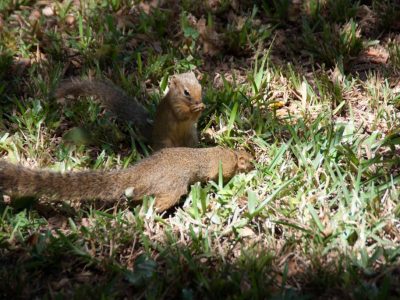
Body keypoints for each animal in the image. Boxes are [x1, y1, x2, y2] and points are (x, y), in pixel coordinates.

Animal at [0, 147, 253, 211]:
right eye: (249, 161)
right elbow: (216, 178)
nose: (255, 163)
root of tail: (137, 172)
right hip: (172, 188)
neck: (231, 153)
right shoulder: (221, 167)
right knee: (162, 200)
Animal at [54, 71, 205, 149]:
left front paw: (202, 107)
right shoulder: (173, 106)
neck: (182, 101)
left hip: (191, 137)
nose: (198, 101)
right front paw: (195, 108)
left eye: (200, 86)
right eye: (186, 92)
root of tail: (152, 135)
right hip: (166, 142)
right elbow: (181, 115)